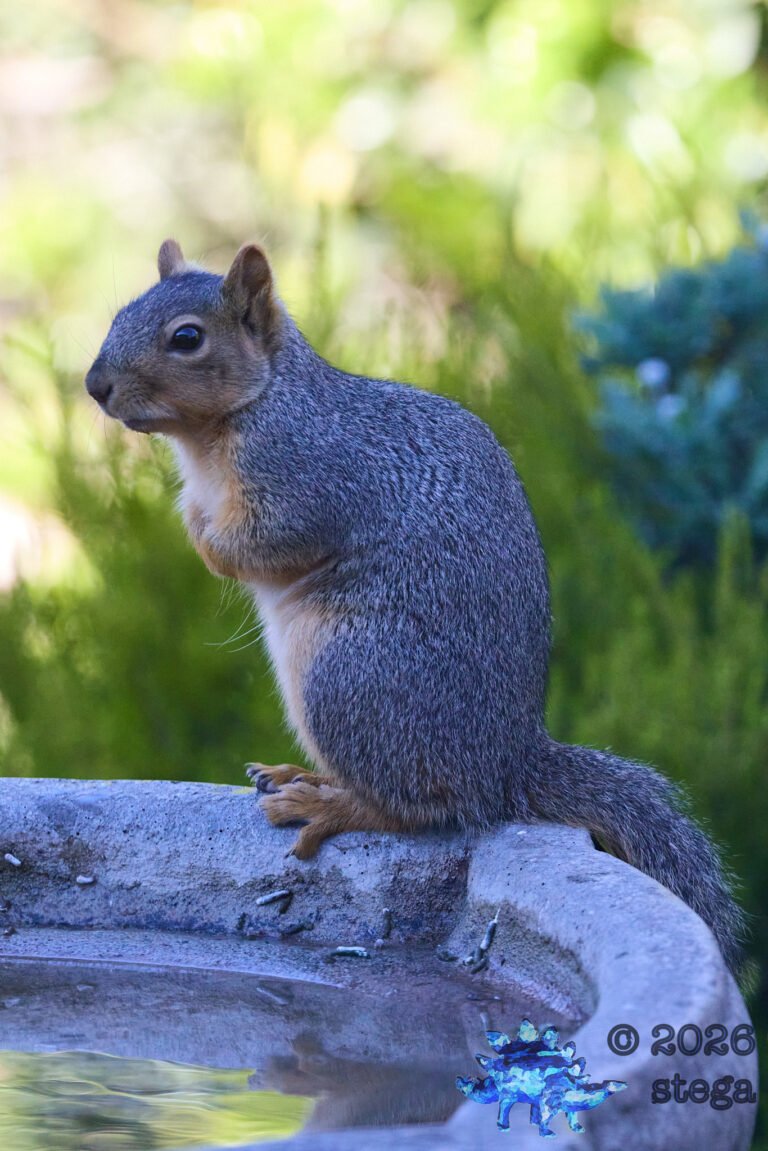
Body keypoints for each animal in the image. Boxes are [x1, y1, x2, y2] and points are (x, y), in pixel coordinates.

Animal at [85, 239, 744, 974]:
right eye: (120, 313)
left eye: (187, 338)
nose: (95, 385)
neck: (248, 410)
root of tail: (503, 767)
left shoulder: (304, 478)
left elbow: (263, 542)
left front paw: (207, 543)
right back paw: (305, 775)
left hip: (351, 678)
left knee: (426, 812)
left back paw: (333, 807)